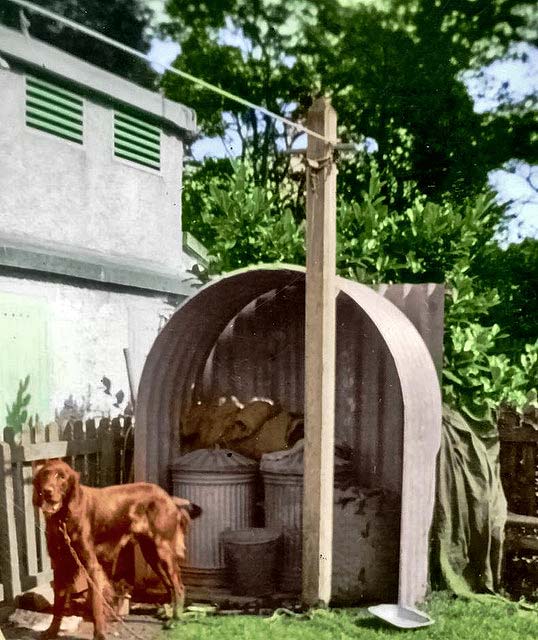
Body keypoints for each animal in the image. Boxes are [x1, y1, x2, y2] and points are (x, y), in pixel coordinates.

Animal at [33, 460, 201, 640]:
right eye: (45, 474)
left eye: (62, 477)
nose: (47, 491)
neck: (63, 518)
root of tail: (168, 497)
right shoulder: (61, 565)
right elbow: (58, 605)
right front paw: (51, 631)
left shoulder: (91, 566)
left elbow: (96, 606)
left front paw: (100, 635)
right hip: (151, 554)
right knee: (170, 586)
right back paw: (168, 615)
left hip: (163, 551)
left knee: (179, 587)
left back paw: (176, 620)